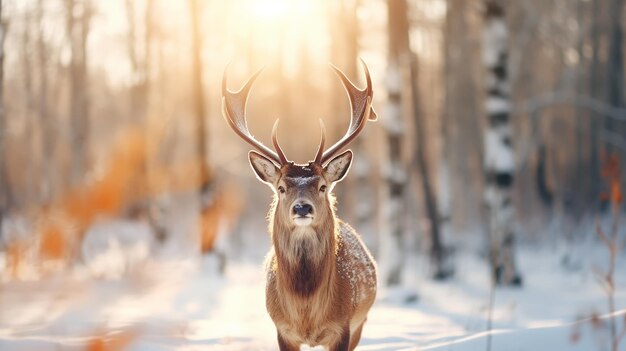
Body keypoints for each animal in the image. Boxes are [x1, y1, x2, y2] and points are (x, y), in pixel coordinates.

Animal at [222, 59, 378, 350]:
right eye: (281, 188)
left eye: (323, 186)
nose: (302, 208)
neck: (306, 313)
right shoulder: (282, 330)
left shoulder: (342, 327)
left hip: (361, 322)